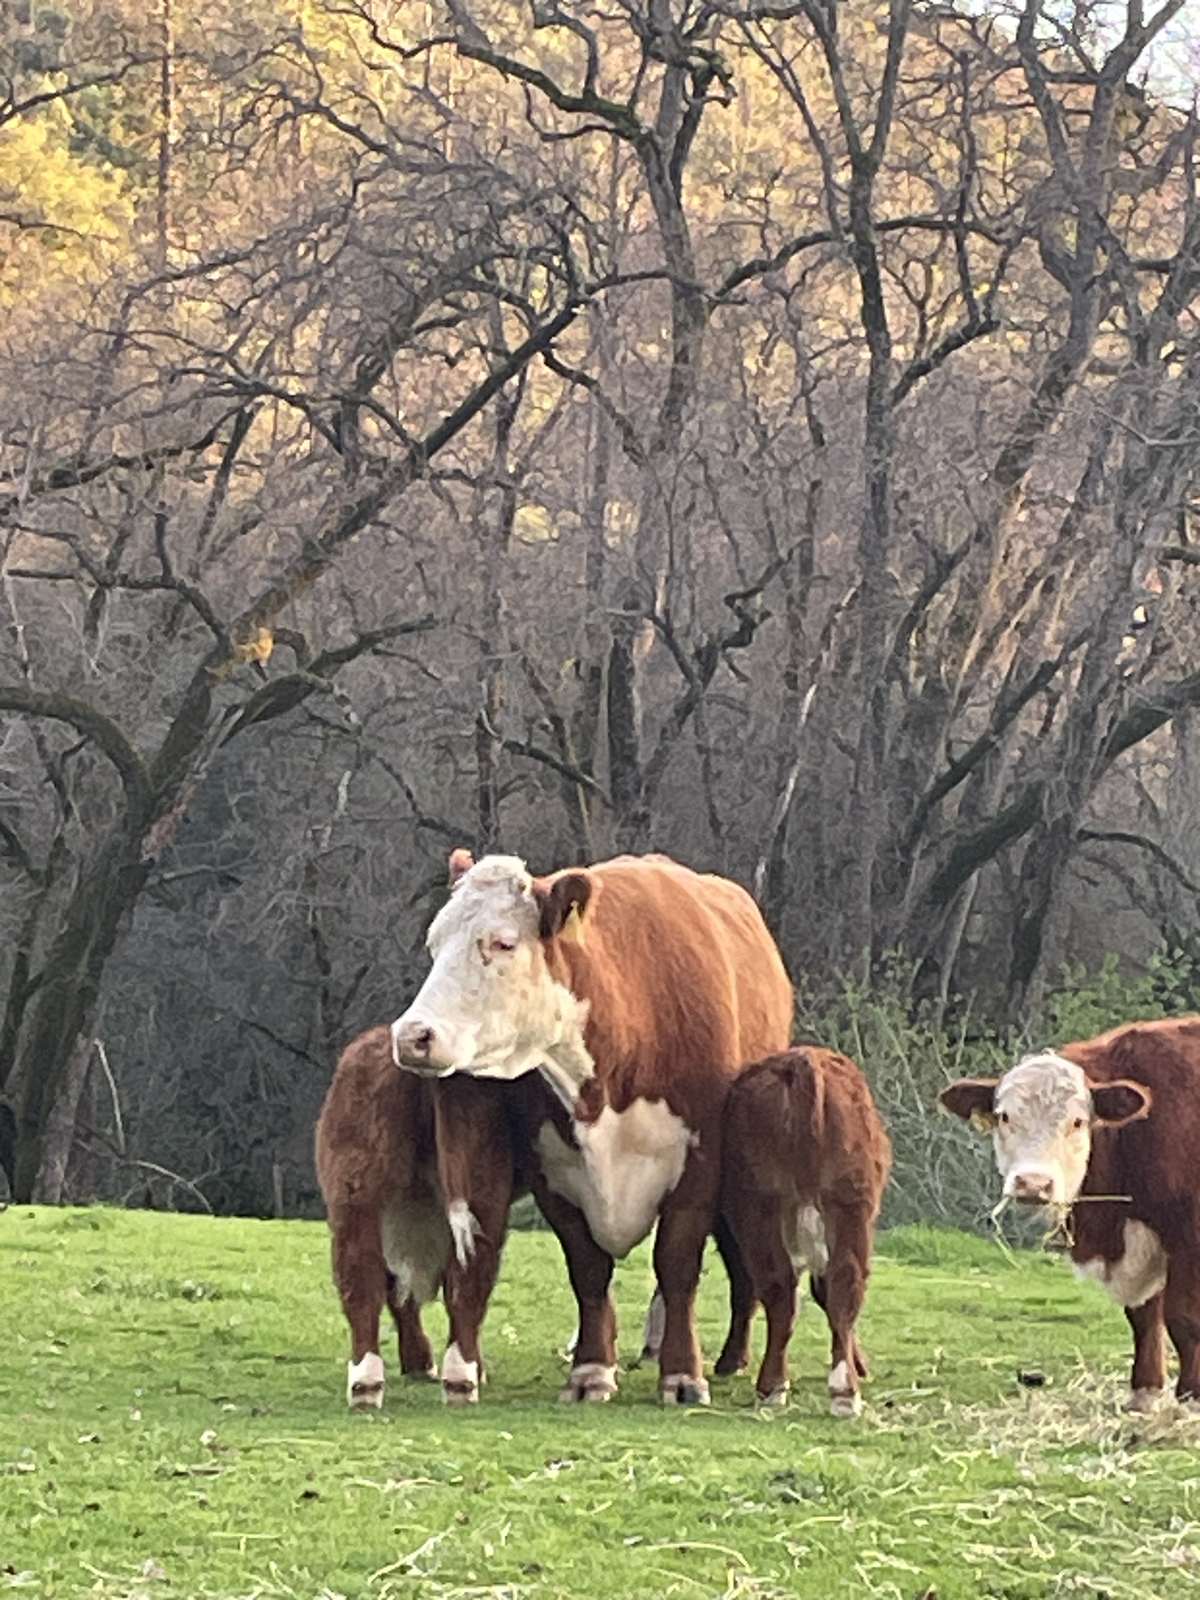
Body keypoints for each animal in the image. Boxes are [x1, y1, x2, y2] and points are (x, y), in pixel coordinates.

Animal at [390, 848, 794, 1406]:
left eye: (502, 942)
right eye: (435, 943)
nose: (413, 1036)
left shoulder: (699, 1163)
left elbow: (677, 1263)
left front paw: (682, 1375)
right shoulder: (554, 1172)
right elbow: (588, 1269)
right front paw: (592, 1370)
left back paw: (730, 1358)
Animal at [721, 1046, 891, 1415]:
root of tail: (804, 1062)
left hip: (764, 1208)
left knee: (781, 1287)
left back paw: (776, 1386)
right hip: (848, 1203)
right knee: (842, 1282)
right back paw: (841, 1390)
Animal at [940, 1016, 1200, 1411]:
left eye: (1078, 1122)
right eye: (1004, 1117)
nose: (1033, 1184)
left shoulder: (1188, 1234)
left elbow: (1184, 1318)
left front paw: (1191, 1397)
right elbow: (1143, 1315)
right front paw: (1144, 1392)